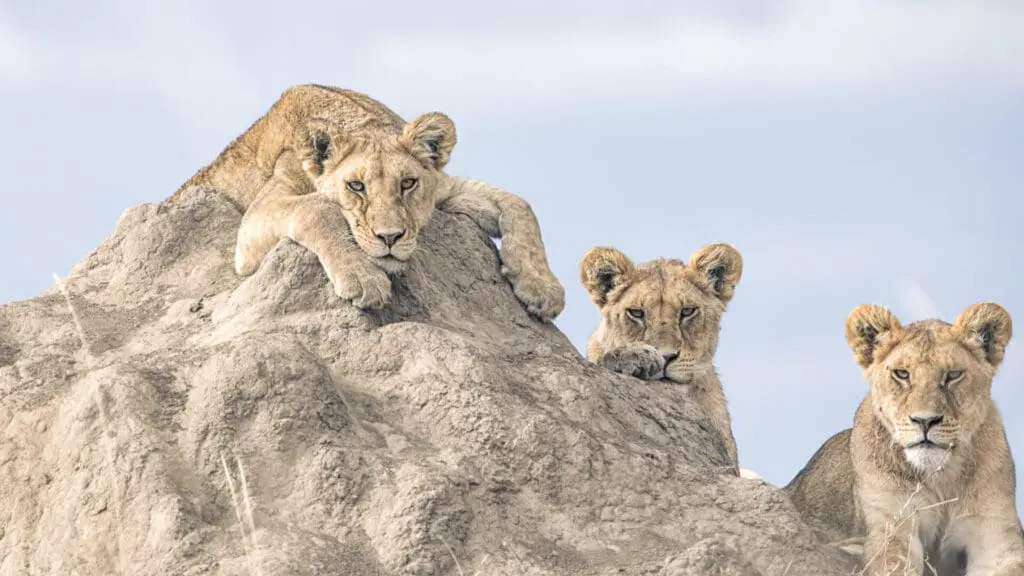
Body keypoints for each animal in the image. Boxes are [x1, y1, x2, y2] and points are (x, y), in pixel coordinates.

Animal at [164, 84, 565, 320]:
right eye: (356, 186)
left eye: (407, 183)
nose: (390, 238)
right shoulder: (252, 226)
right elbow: (317, 207)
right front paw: (363, 278)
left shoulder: (442, 189)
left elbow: (518, 204)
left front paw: (542, 289)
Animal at [785, 302, 1023, 575]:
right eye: (902, 374)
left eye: (953, 375)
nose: (925, 421)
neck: (942, 477)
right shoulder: (891, 530)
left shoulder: (997, 538)